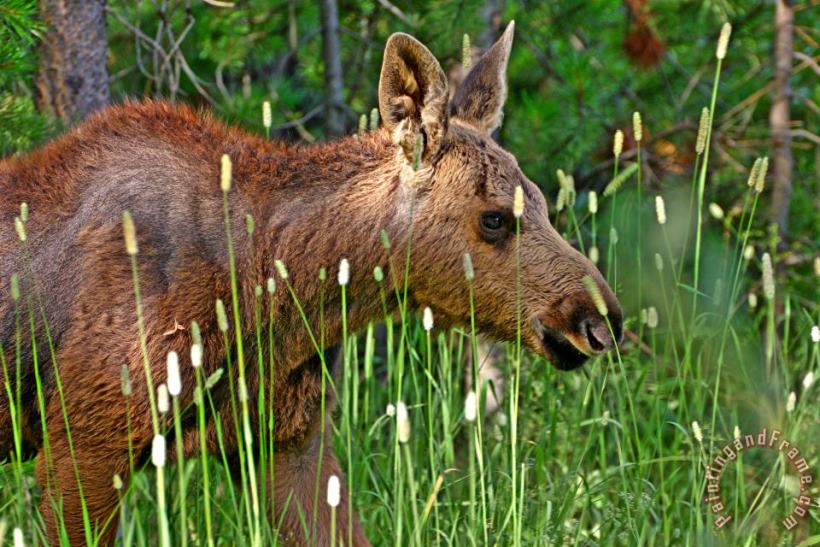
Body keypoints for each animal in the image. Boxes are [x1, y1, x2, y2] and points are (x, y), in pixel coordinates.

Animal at [0, 22, 622, 545]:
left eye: (540, 200)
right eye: (494, 218)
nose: (599, 318)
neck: (273, 294)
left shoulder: (286, 441)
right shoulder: (84, 442)